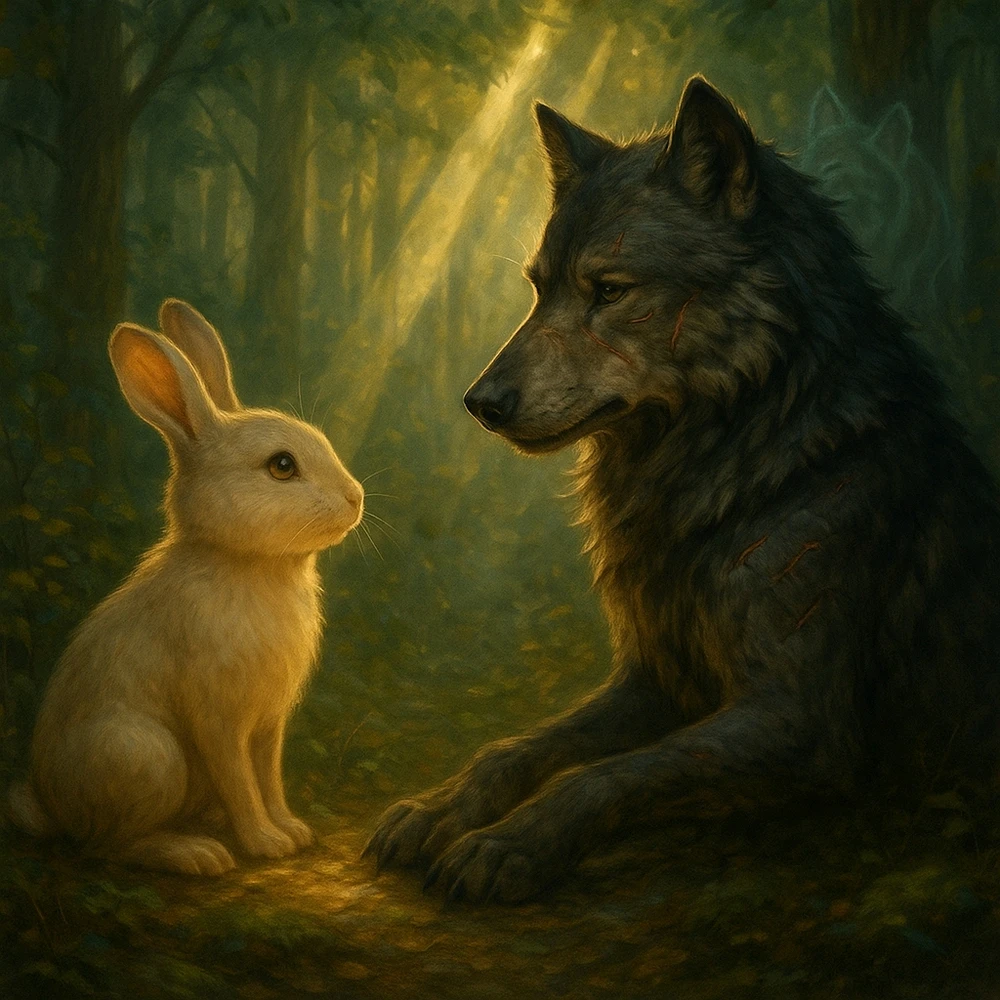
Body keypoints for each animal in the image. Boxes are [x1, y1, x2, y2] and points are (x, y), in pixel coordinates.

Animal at [365, 76, 1000, 903]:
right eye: (537, 290)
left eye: (608, 290)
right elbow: (516, 748)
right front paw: (439, 809)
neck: (739, 471)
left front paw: (506, 843)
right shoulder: (655, 678)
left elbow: (605, 775)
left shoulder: (802, 721)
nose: (480, 402)